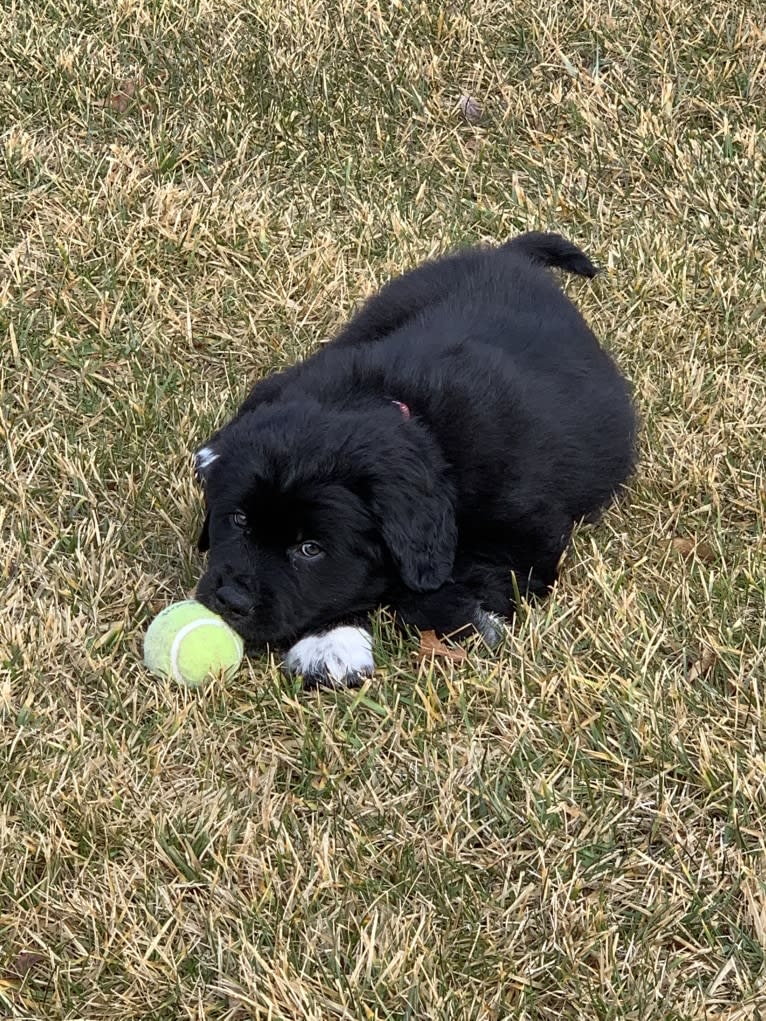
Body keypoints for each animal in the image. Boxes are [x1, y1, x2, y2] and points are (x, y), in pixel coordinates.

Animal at [195, 233, 637, 686]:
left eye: (310, 549)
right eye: (238, 520)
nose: (231, 598)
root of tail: (507, 257)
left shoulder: (530, 534)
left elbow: (418, 591)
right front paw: (331, 641)